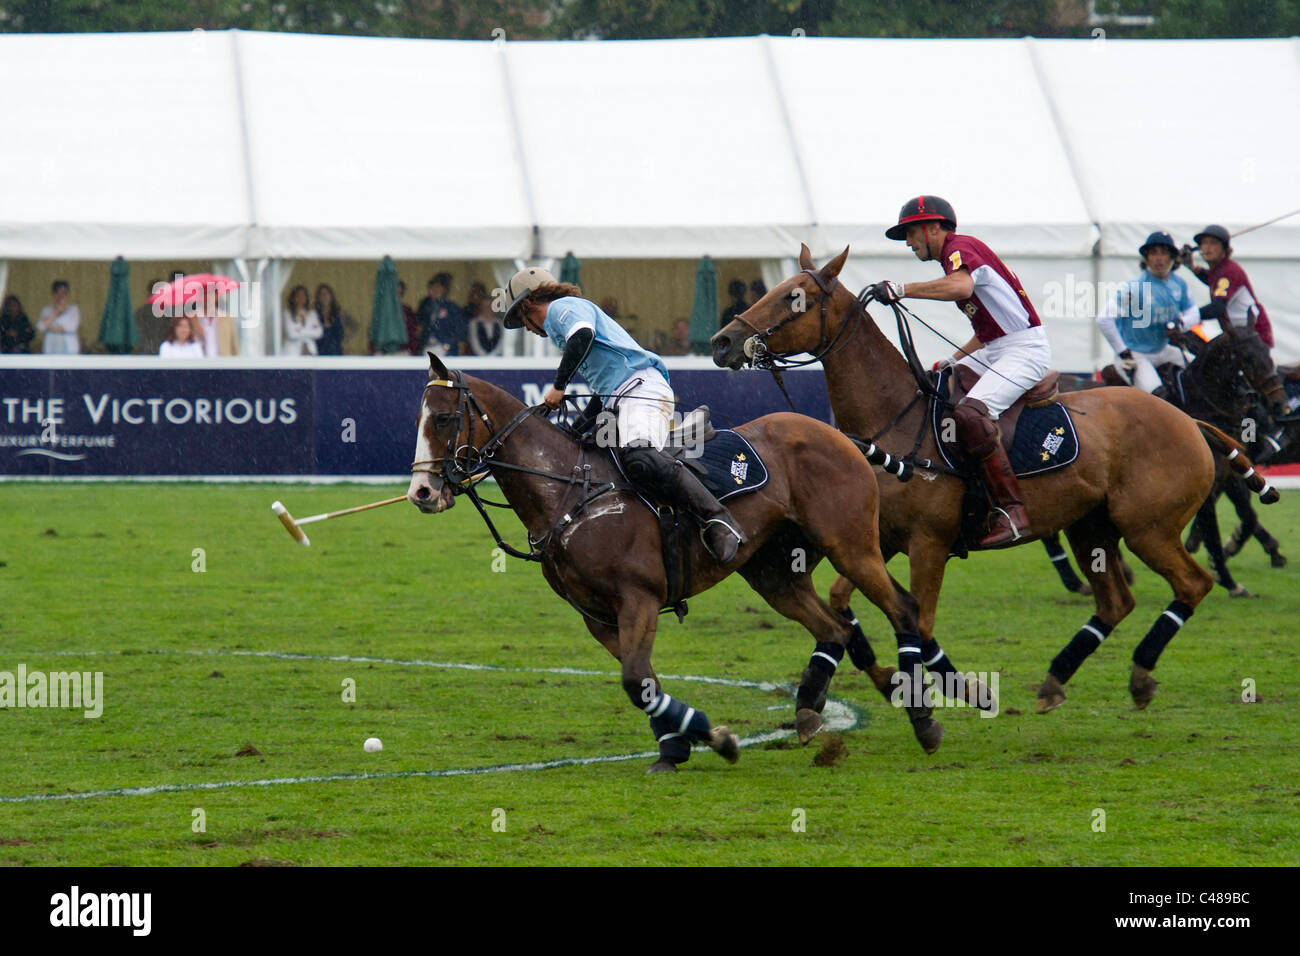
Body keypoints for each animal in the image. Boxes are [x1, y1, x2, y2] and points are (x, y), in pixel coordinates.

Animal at [408, 356, 946, 775]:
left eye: (442, 419)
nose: (422, 493)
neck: (569, 491)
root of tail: (836, 432)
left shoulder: (638, 599)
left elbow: (634, 679)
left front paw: (708, 738)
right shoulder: (598, 618)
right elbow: (645, 682)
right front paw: (685, 745)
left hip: (850, 544)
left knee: (903, 608)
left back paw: (923, 721)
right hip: (775, 572)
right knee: (833, 628)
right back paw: (809, 712)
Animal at [707, 244, 1274, 712]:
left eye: (794, 298)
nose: (722, 342)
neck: (894, 418)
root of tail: (1188, 419)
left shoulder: (928, 542)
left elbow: (919, 621)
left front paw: (934, 693)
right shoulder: (878, 539)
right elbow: (846, 601)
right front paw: (883, 680)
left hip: (1148, 527)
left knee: (1192, 582)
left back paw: (1140, 672)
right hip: (1090, 527)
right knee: (1116, 601)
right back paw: (1055, 680)